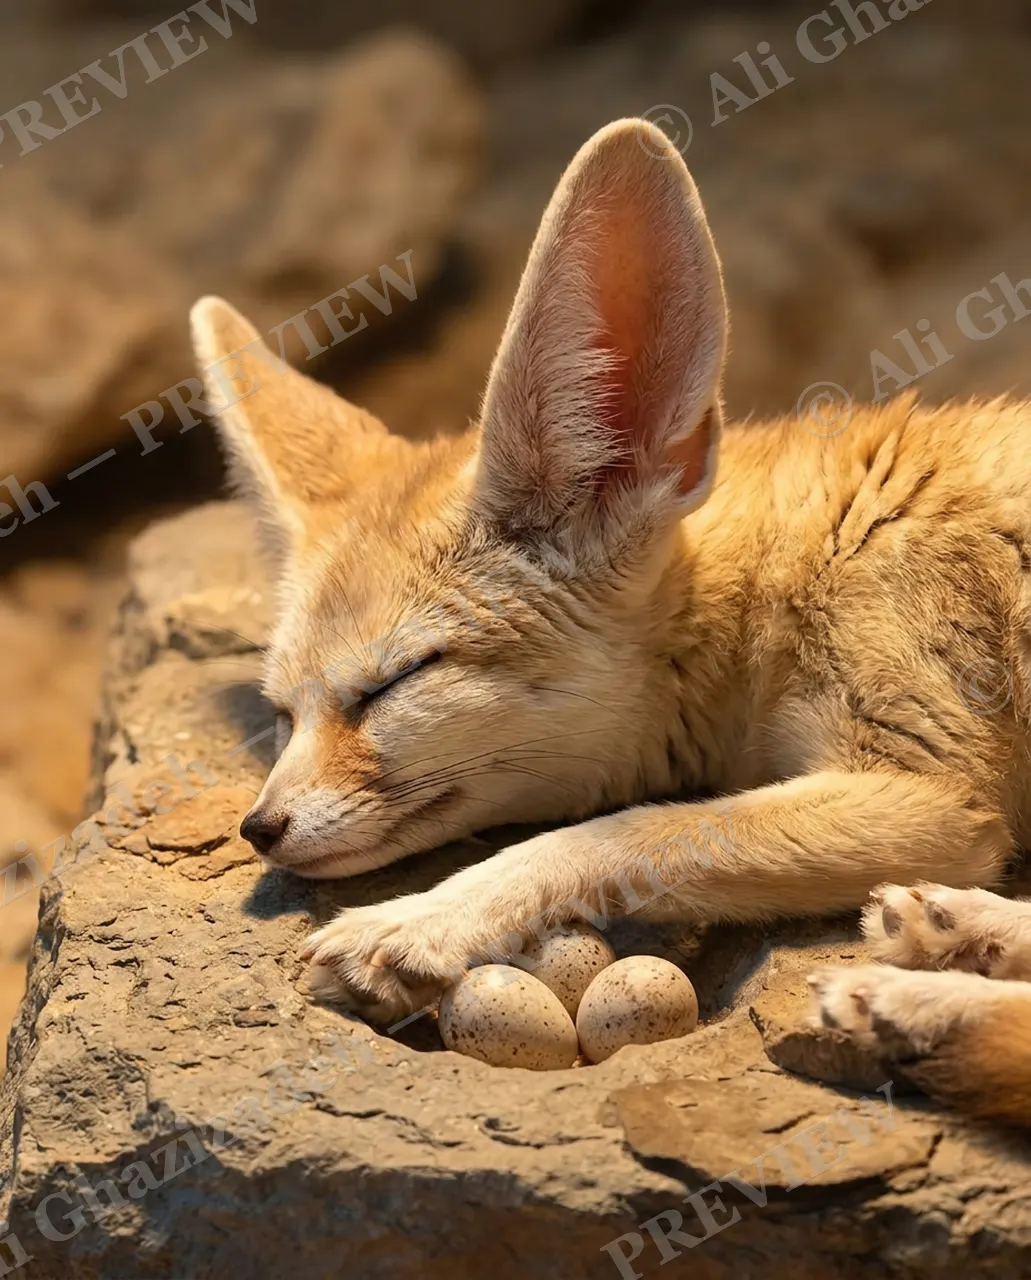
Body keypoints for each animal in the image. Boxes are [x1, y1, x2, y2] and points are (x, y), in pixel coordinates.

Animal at [189, 118, 1031, 1128]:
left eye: (394, 683)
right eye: (282, 713)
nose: (258, 828)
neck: (796, 564)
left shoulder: (937, 792)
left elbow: (626, 830)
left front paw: (425, 918)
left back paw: (912, 998)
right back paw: (955, 940)